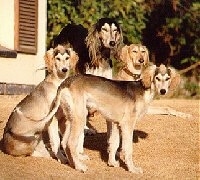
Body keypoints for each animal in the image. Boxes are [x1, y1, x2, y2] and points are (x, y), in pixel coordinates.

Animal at [44, 63, 181, 173]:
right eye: (157, 78)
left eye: (167, 78)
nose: (163, 91)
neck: (144, 90)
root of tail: (66, 82)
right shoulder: (127, 125)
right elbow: (128, 149)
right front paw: (132, 169)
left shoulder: (115, 123)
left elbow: (113, 144)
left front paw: (112, 163)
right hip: (80, 119)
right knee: (70, 143)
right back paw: (80, 167)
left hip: (71, 119)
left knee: (64, 142)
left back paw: (73, 164)